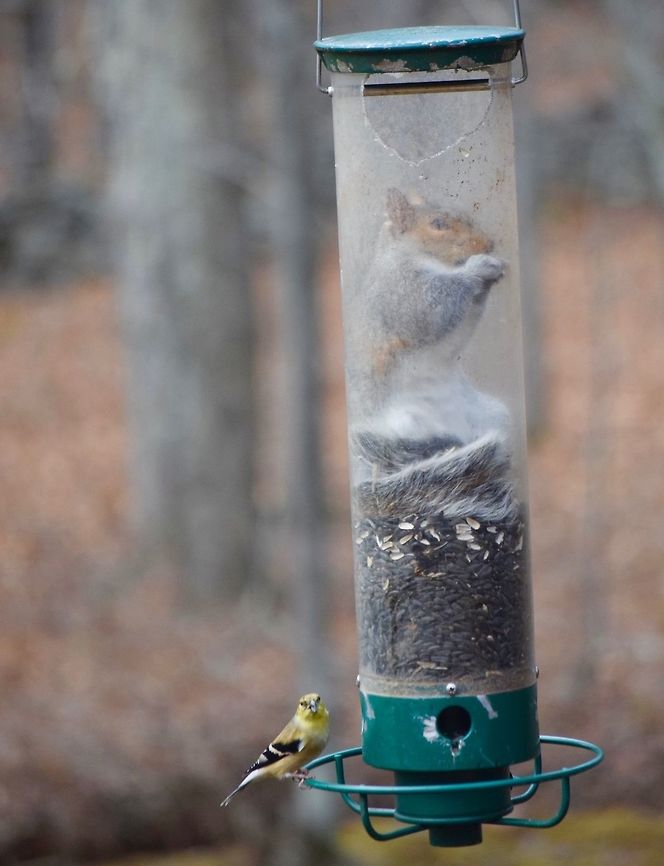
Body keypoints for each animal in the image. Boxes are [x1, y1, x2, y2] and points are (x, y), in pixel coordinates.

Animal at [348, 188, 515, 522]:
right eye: (438, 224)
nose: (487, 244)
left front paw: (493, 267)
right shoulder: (405, 295)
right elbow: (437, 308)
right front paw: (478, 268)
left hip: (491, 414)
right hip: (404, 423)